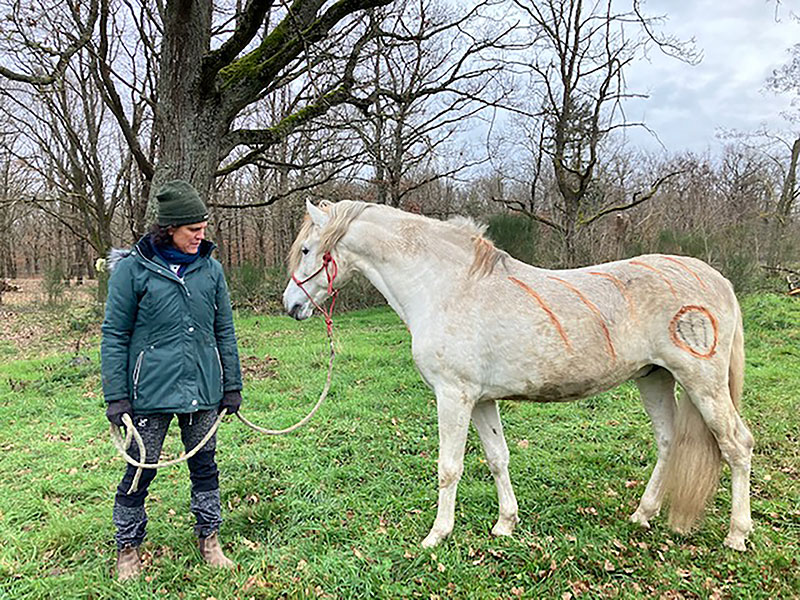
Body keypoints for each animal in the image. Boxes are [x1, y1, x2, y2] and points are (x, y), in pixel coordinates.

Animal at [282, 199, 754, 551]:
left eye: (305, 250)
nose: (291, 306)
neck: (447, 286)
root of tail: (718, 280)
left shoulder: (453, 396)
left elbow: (449, 466)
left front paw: (437, 535)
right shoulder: (481, 400)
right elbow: (497, 458)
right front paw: (505, 523)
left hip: (703, 384)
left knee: (737, 445)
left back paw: (736, 534)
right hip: (654, 378)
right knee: (668, 441)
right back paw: (643, 514)